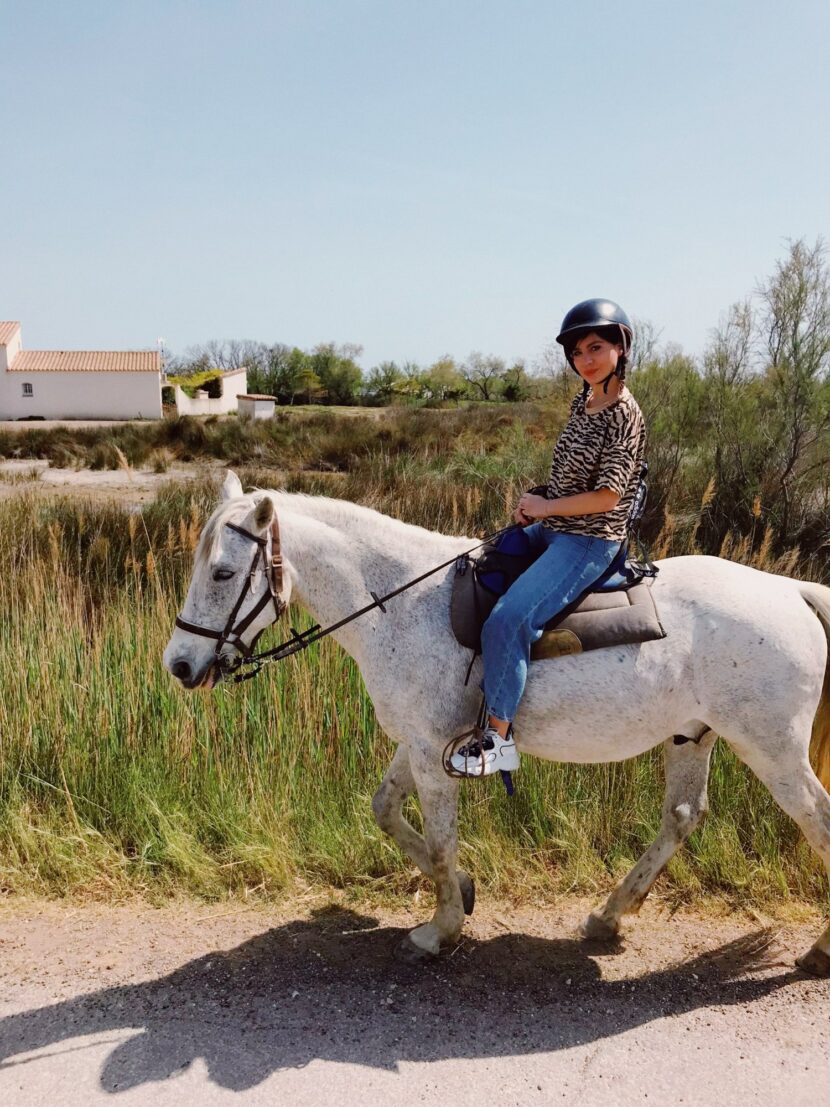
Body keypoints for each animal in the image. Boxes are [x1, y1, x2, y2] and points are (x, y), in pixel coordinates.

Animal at [164, 471, 830, 974]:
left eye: (222, 573)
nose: (179, 665)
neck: (400, 604)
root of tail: (790, 591)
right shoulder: (418, 743)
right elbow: (386, 811)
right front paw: (461, 892)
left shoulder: (433, 751)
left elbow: (439, 841)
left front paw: (440, 930)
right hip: (692, 736)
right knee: (683, 816)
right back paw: (607, 916)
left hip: (771, 749)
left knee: (815, 820)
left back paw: (818, 950)